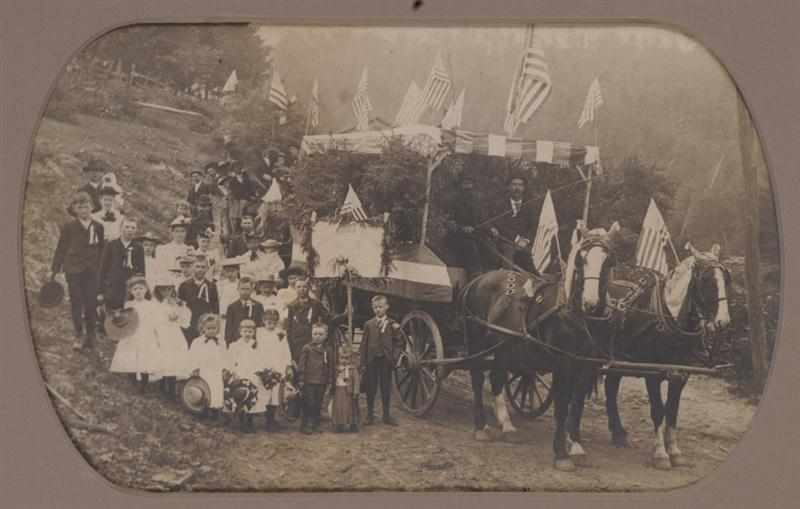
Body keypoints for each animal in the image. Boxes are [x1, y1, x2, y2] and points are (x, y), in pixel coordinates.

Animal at [460, 222, 620, 472]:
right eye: (581, 260)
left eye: (608, 261)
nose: (591, 303)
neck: (574, 315)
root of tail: (479, 278)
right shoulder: (563, 363)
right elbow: (562, 406)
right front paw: (561, 454)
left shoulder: (585, 366)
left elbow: (577, 406)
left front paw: (576, 446)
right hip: (478, 341)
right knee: (477, 377)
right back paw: (481, 427)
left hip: (504, 345)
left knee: (497, 378)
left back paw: (507, 425)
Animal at [568, 241, 732, 468]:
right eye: (706, 279)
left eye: (726, 278)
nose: (723, 322)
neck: (669, 318)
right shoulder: (652, 373)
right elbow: (658, 411)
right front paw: (661, 453)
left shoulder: (680, 375)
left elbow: (672, 411)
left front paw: (674, 450)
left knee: (611, 387)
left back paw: (618, 433)